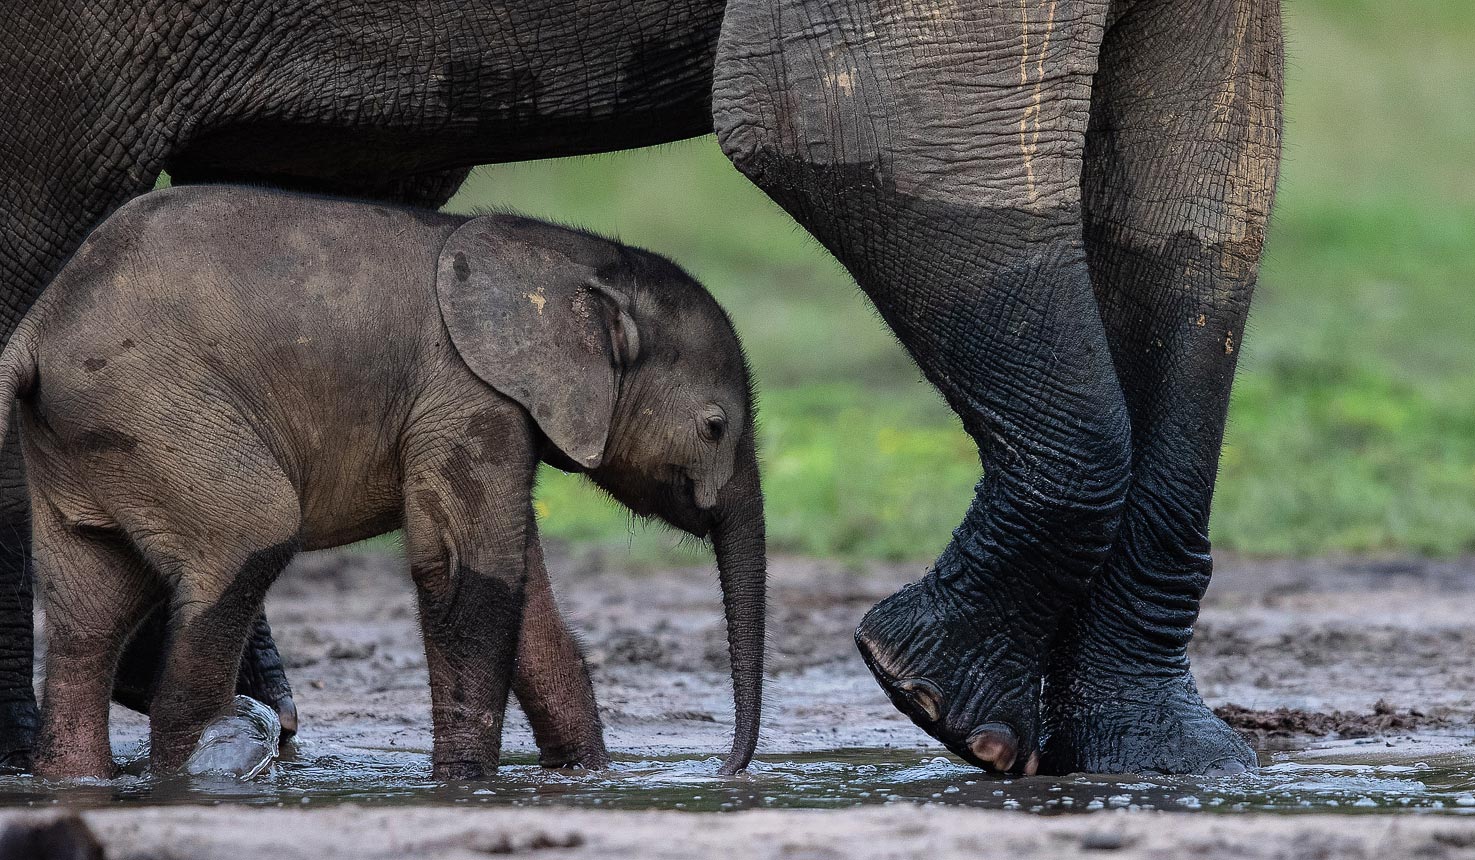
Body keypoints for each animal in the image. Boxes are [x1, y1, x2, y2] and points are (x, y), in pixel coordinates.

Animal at [8, 185, 772, 784]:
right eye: (713, 427)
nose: (727, 770)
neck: (567, 265)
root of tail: (38, 325)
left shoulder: (492, 407)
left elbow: (523, 594)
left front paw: (586, 777)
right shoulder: (464, 397)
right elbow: (467, 575)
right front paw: (466, 785)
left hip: (90, 438)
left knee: (91, 613)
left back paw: (77, 779)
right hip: (157, 410)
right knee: (252, 535)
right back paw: (208, 766)